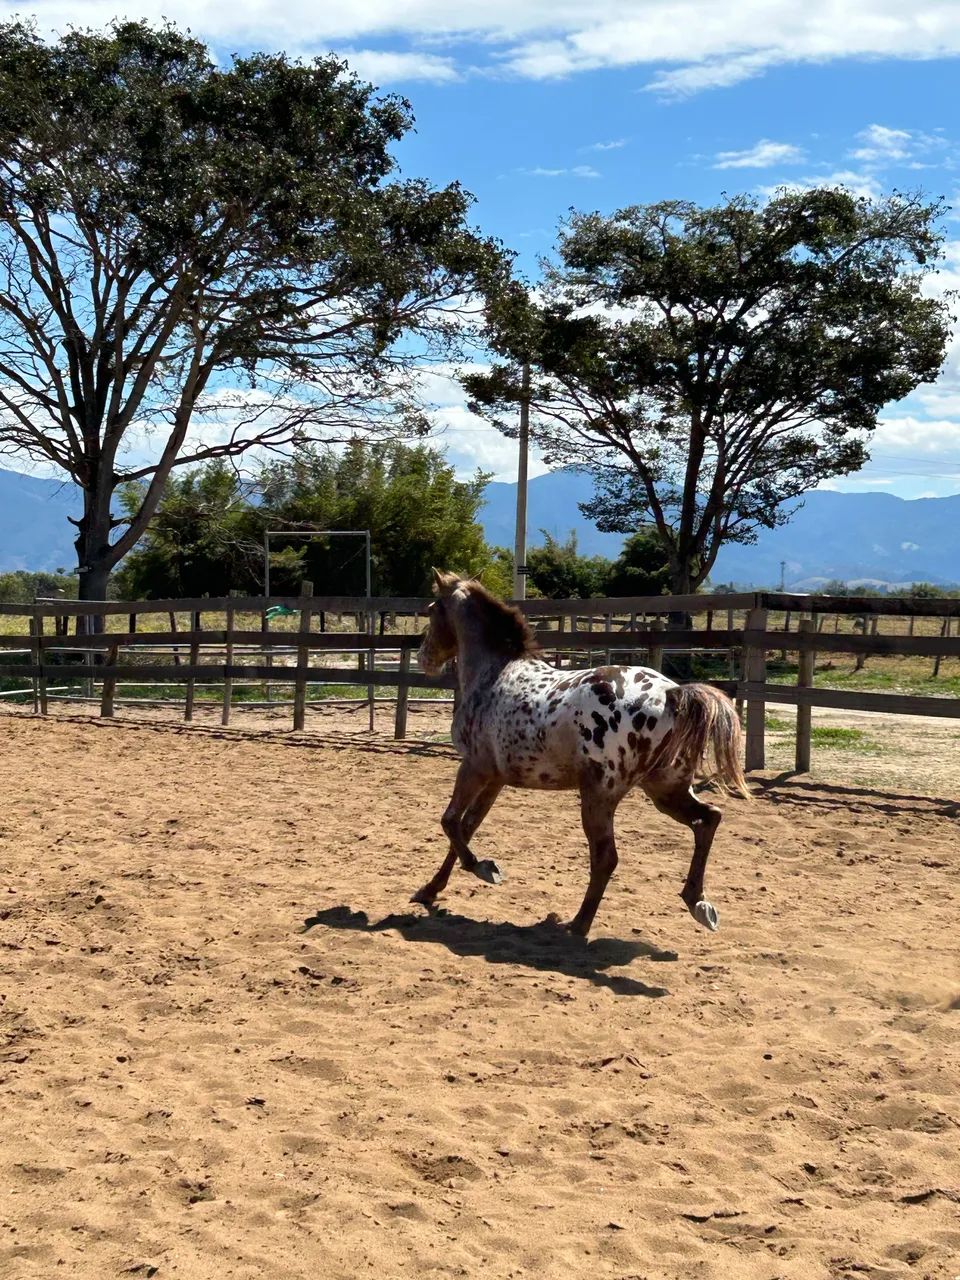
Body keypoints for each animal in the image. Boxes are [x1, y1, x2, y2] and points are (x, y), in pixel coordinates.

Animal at [412, 569, 750, 939]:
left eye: (431, 609)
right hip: (665, 789)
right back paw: (698, 903)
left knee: (606, 857)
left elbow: (450, 822)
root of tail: (673, 694)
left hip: (600, 795)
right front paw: (430, 889)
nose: (423, 658)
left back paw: (578, 924)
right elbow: (467, 826)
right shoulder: (496, 778)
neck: (493, 674)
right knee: (708, 819)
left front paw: (483, 869)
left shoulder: (474, 768)